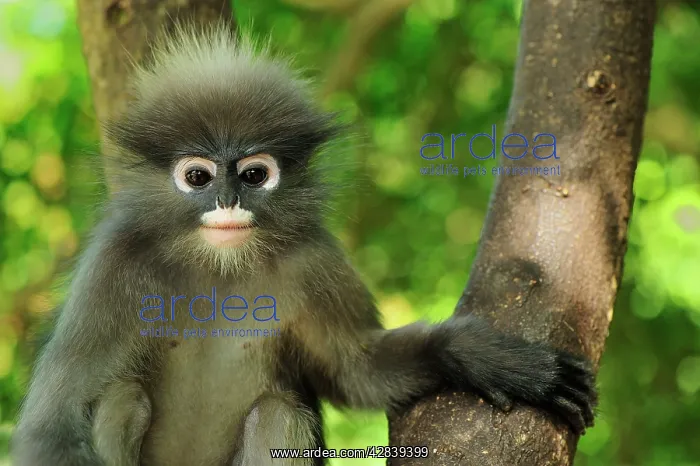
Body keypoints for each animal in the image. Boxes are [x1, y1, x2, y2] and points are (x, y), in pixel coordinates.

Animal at [11, 22, 597, 466]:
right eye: (198, 177)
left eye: (253, 174)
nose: (228, 202)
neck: (220, 267)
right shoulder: (113, 266)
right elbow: (51, 426)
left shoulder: (316, 260)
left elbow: (357, 371)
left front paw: (483, 356)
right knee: (119, 398)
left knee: (279, 412)